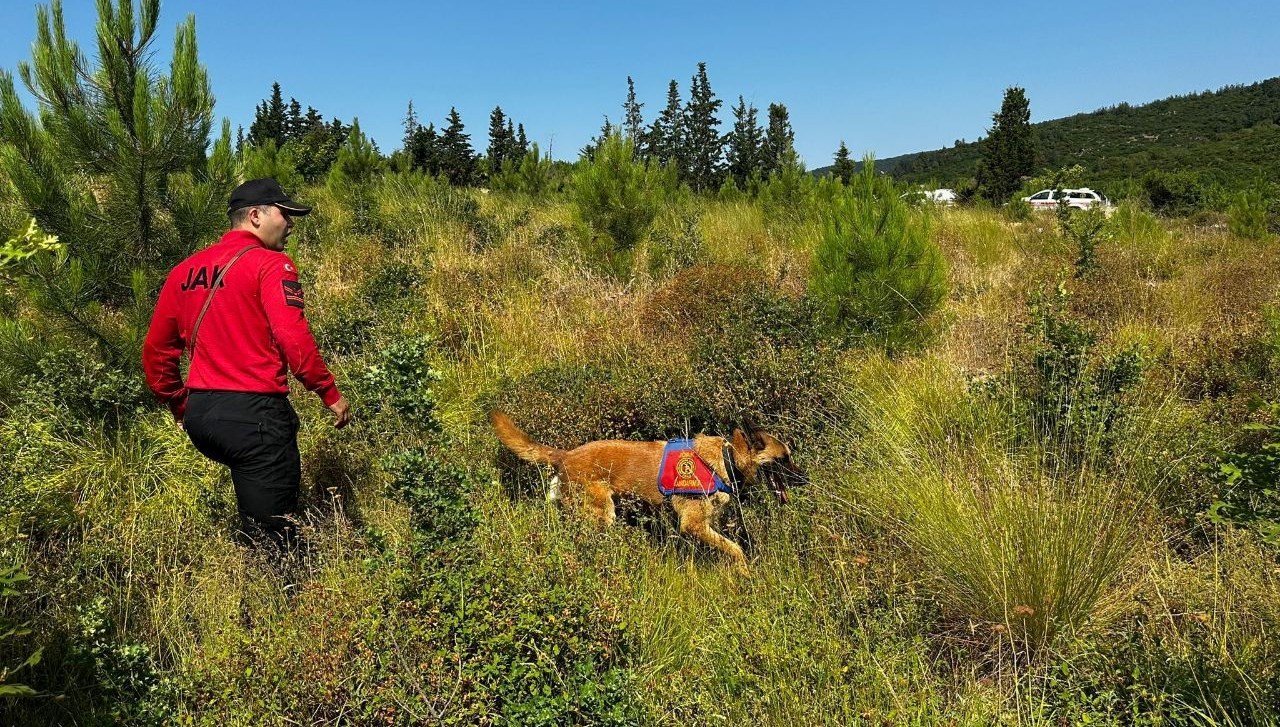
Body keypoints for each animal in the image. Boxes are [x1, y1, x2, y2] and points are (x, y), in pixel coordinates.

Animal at [491, 412, 808, 570]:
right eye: (784, 459)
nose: (806, 479)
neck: (727, 459)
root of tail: (566, 455)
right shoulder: (693, 525)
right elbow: (735, 549)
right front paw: (744, 572)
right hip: (601, 517)